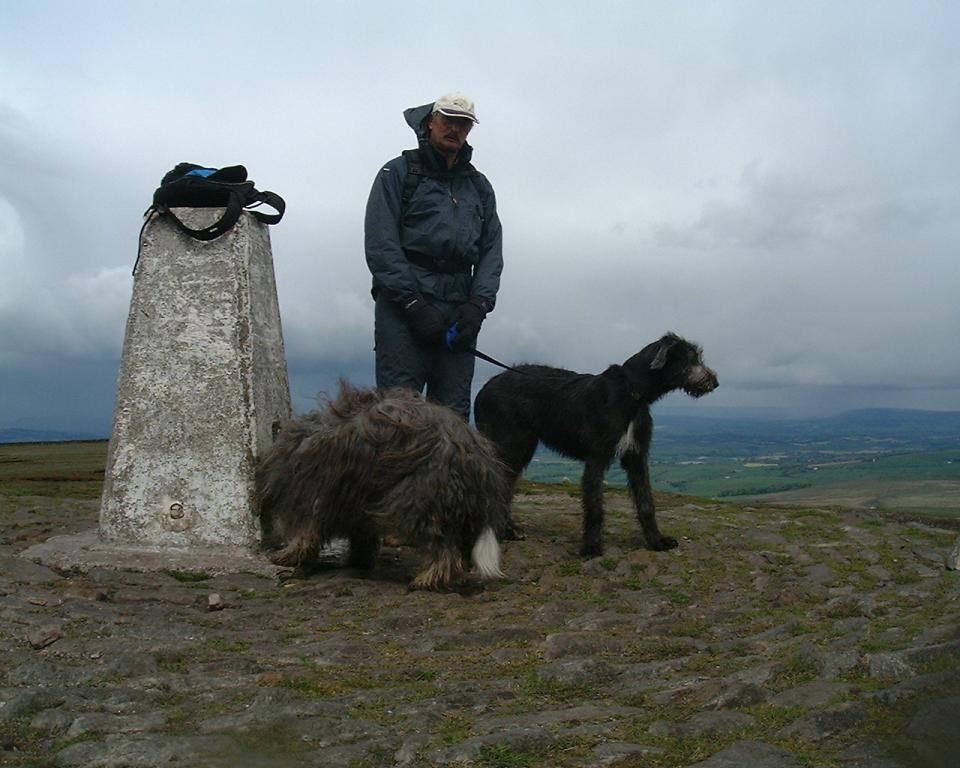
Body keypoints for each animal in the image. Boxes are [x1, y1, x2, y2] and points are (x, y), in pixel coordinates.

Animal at [255, 382, 510, 588]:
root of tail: (474, 454)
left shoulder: (313, 494)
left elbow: (306, 531)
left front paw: (285, 555)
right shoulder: (356, 501)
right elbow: (361, 535)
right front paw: (359, 560)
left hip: (421, 497)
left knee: (441, 547)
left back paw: (427, 579)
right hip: (456, 506)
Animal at [476, 332, 716, 556]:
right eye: (692, 358)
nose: (715, 382)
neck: (631, 392)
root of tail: (484, 389)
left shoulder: (637, 456)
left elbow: (646, 501)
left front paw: (657, 541)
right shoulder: (596, 457)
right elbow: (594, 506)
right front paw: (591, 547)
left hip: (521, 448)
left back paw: (508, 530)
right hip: (509, 445)